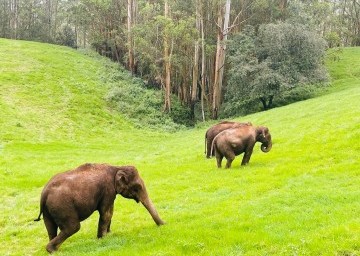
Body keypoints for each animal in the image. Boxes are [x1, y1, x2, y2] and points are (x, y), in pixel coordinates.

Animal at [34, 163, 164, 253]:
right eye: (137, 187)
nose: (164, 224)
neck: (117, 167)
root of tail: (44, 193)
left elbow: (110, 212)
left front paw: (109, 234)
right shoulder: (108, 190)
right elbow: (106, 213)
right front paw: (103, 238)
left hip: (49, 210)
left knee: (51, 228)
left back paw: (54, 249)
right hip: (63, 206)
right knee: (73, 227)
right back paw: (53, 250)